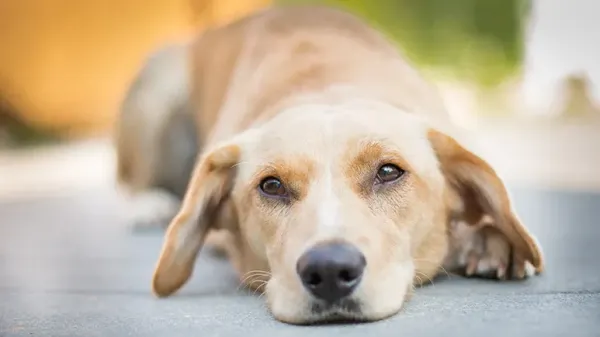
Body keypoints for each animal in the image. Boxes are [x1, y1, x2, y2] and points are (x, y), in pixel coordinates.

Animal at [115, 5, 548, 324]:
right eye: (271, 185)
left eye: (388, 172)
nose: (328, 271)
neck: (329, 86)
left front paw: (485, 239)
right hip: (160, 80)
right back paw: (147, 203)